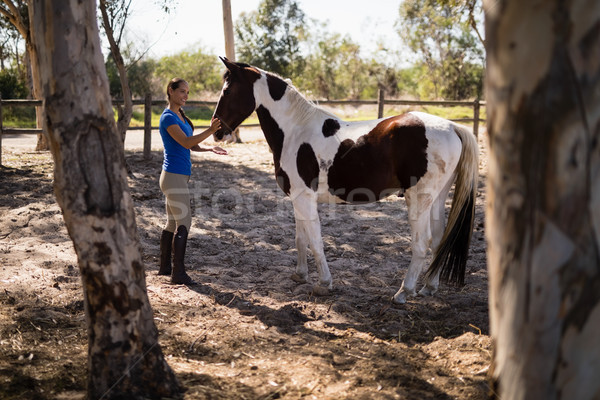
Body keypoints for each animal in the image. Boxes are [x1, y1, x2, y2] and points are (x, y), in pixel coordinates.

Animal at [211, 57, 478, 304]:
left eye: (227, 90)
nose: (216, 132)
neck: (295, 130)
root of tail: (453, 127)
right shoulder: (298, 199)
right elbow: (301, 238)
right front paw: (300, 275)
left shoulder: (304, 198)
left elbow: (315, 241)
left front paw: (324, 284)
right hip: (437, 198)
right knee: (439, 239)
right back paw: (429, 287)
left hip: (418, 199)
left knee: (422, 244)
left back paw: (403, 292)